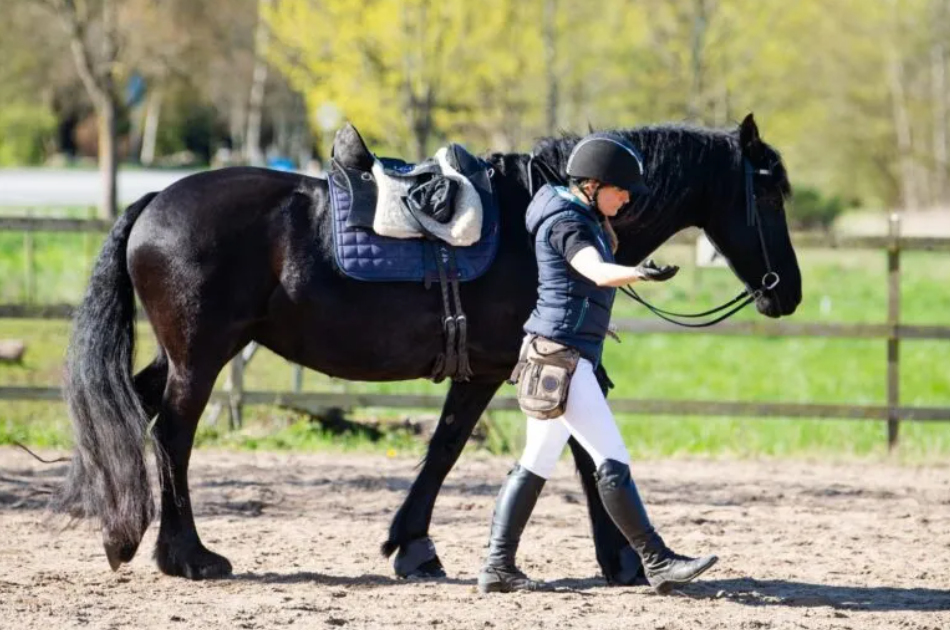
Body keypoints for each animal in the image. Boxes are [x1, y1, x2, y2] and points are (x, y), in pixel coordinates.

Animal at [54, 112, 804, 584]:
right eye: (769, 195)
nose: (787, 293)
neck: (535, 219)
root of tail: (155, 200)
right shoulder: (498, 367)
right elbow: (451, 450)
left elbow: (520, 453)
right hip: (202, 356)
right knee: (171, 435)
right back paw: (187, 555)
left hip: (182, 356)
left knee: (131, 413)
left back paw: (118, 529)